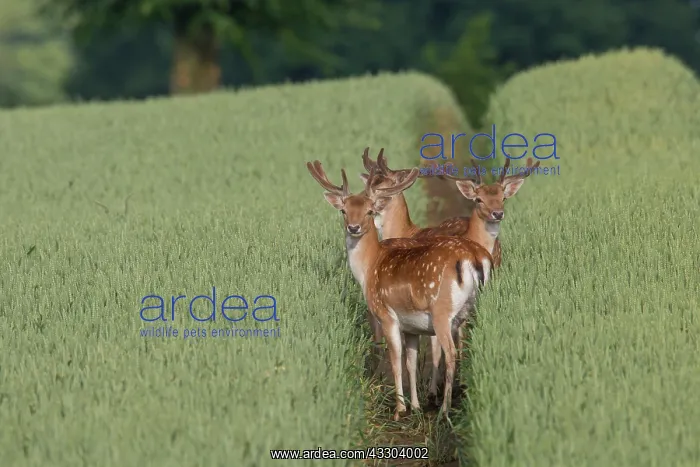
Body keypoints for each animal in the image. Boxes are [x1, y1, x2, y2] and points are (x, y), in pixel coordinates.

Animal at [306, 159, 492, 421]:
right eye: (344, 210)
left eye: (369, 211)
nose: (354, 227)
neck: (369, 267)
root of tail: (475, 256)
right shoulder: (412, 326)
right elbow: (411, 362)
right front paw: (415, 406)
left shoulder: (386, 314)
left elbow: (396, 359)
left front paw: (399, 409)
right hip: (475, 307)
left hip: (441, 310)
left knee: (451, 352)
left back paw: (443, 410)